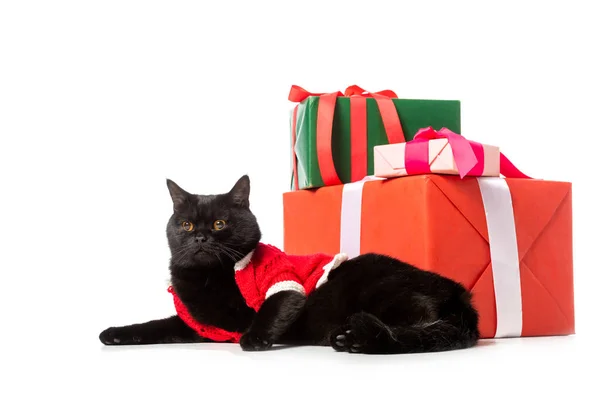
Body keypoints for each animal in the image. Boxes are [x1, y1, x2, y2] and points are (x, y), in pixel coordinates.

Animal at [101, 175, 480, 354]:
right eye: (186, 225)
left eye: (220, 224)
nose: (201, 239)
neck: (208, 280)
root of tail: (458, 292)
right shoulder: (199, 325)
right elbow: (153, 326)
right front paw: (113, 333)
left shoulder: (286, 287)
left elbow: (271, 310)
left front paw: (253, 339)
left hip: (382, 291)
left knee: (413, 332)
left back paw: (350, 339)